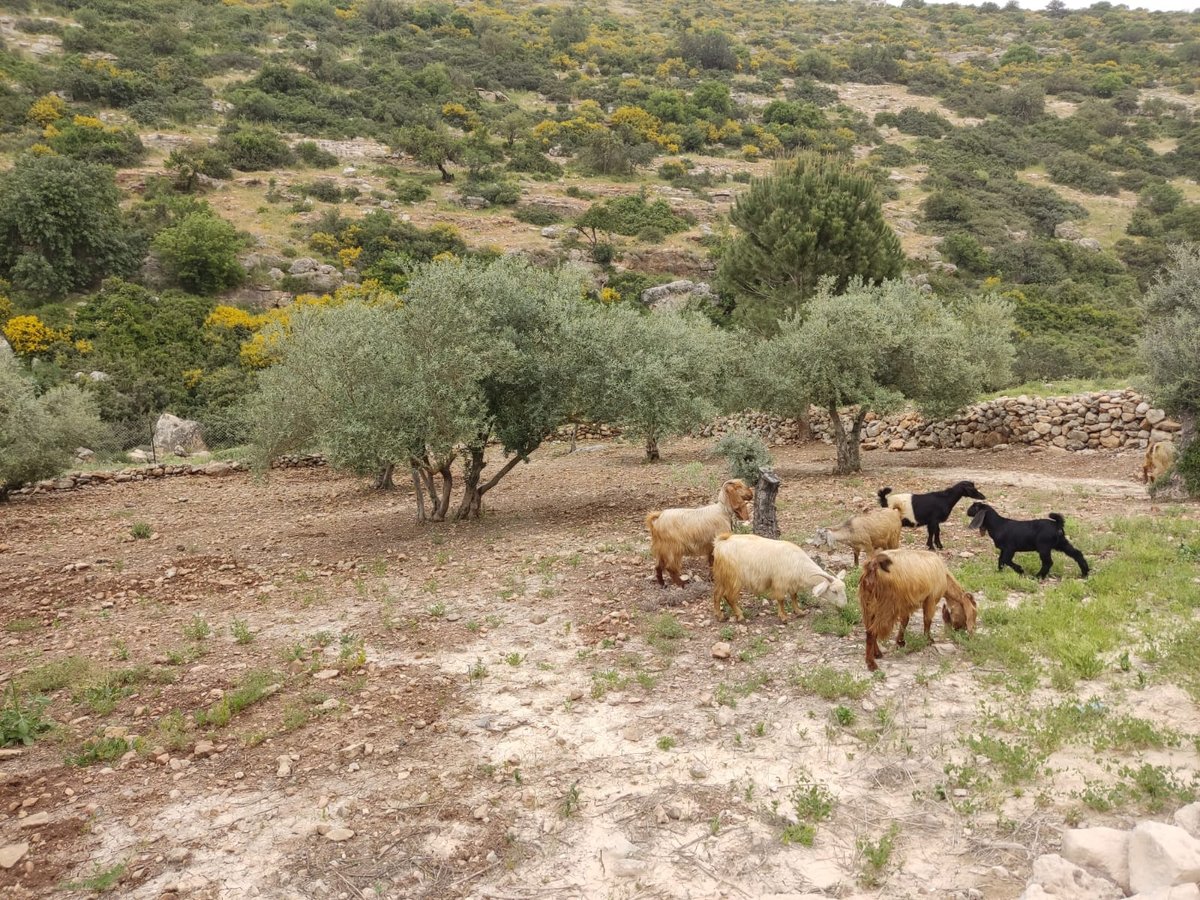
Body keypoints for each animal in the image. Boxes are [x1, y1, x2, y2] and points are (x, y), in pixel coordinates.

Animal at [705, 532, 849, 624]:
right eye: (834, 591)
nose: (844, 606)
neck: (798, 563)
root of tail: (721, 543)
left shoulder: (792, 583)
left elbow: (794, 596)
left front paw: (799, 611)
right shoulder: (780, 582)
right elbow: (781, 599)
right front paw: (783, 617)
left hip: (722, 577)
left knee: (716, 594)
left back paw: (720, 616)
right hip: (734, 578)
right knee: (729, 597)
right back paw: (740, 616)